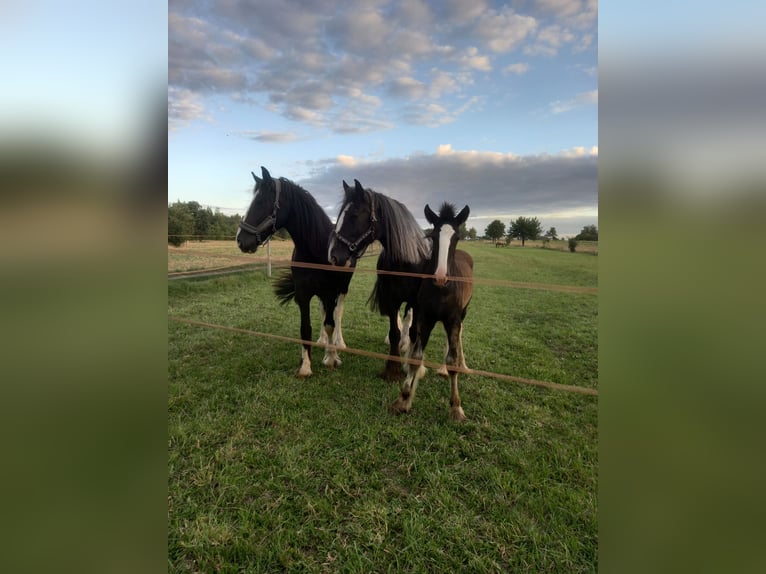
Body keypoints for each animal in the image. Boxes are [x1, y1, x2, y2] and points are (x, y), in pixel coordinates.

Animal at [236, 166, 354, 377]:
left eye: (260, 201)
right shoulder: (304, 293)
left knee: (338, 313)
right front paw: (305, 366)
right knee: (323, 312)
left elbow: (331, 323)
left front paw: (331, 358)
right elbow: (305, 328)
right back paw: (322, 341)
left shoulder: (330, 292)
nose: (240, 240)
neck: (315, 249)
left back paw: (338, 344)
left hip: (342, 289)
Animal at [328, 179, 431, 381]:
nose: (334, 256)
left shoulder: (417, 302)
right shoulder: (391, 299)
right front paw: (392, 369)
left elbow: (414, 332)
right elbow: (394, 333)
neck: (407, 261)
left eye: (353, 215)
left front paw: (413, 367)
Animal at [391, 202, 473, 421]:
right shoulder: (425, 318)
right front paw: (404, 399)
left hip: (462, 314)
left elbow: (452, 359)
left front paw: (456, 408)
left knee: (457, 337)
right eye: (433, 237)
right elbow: (416, 358)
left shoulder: (452, 319)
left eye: (456, 237)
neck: (442, 291)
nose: (440, 277)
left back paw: (458, 365)